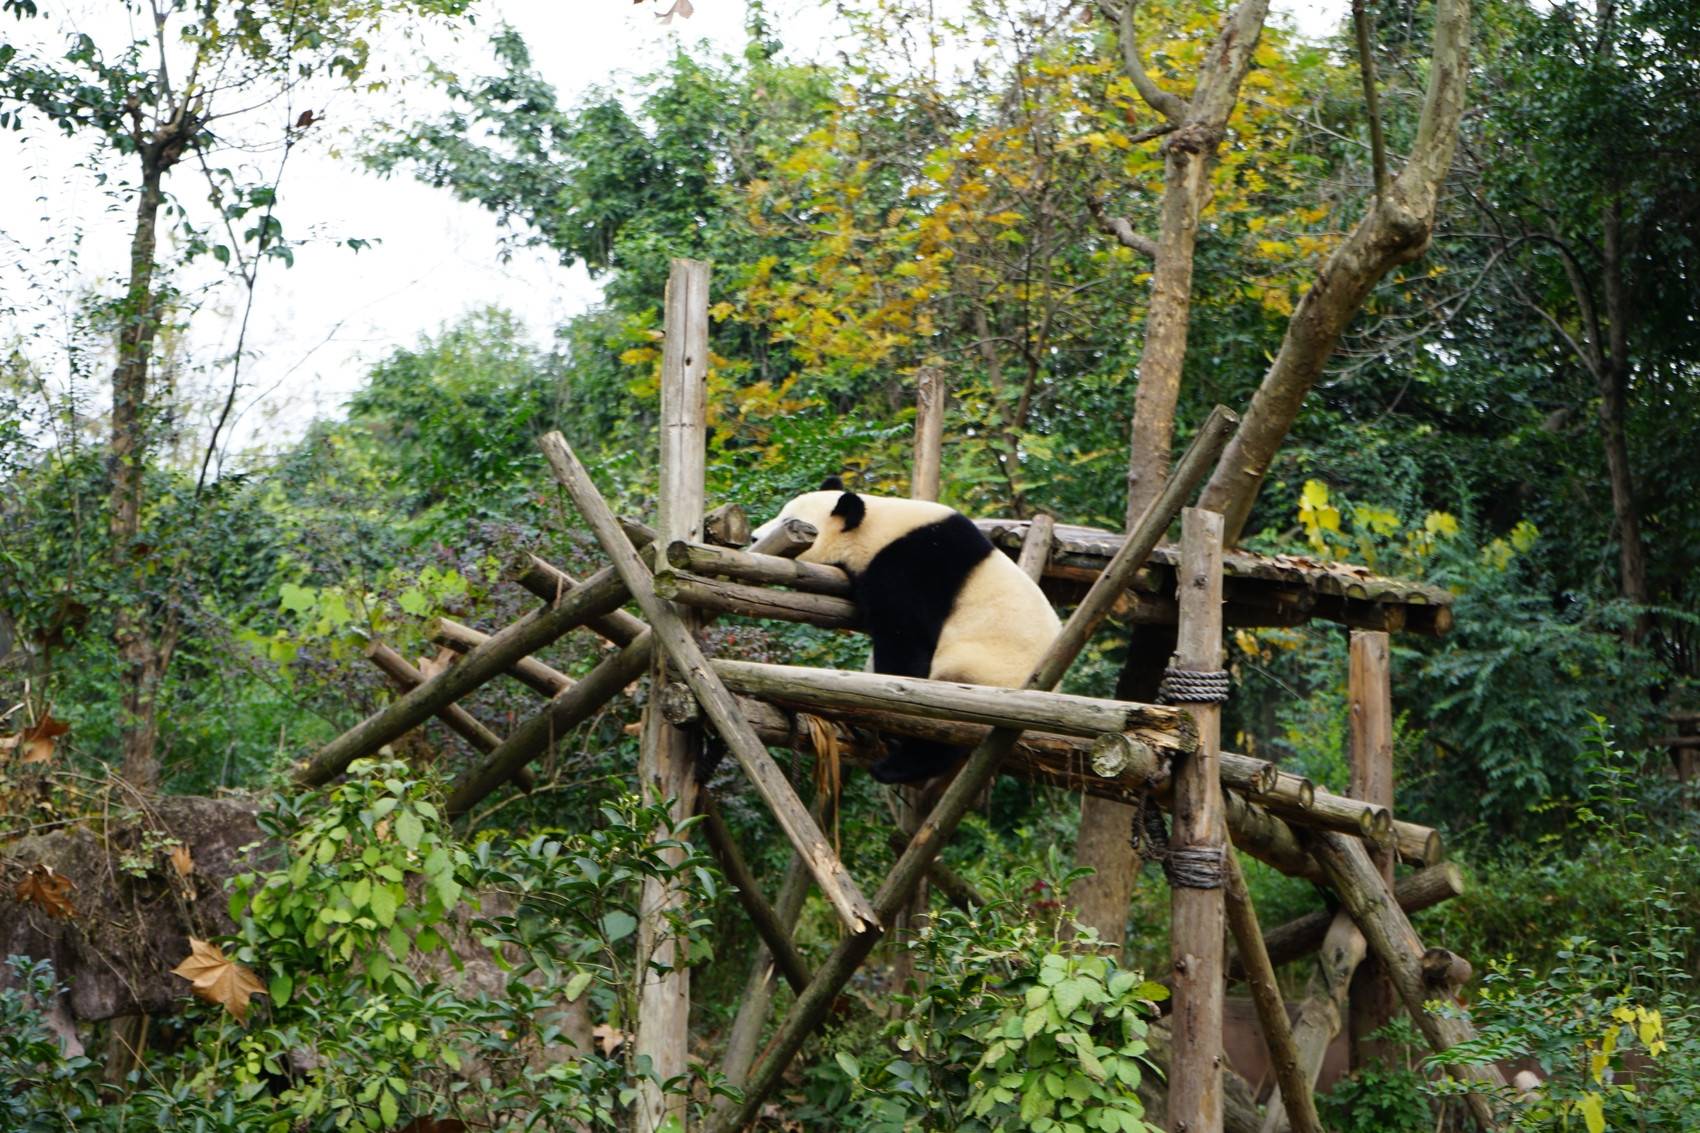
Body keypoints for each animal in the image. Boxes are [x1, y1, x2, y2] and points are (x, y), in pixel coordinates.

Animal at [752, 478, 1061, 783]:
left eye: (789, 519)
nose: (754, 537)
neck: (876, 528)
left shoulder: (911, 567)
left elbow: (904, 638)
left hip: (984, 674)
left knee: (949, 722)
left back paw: (897, 766)